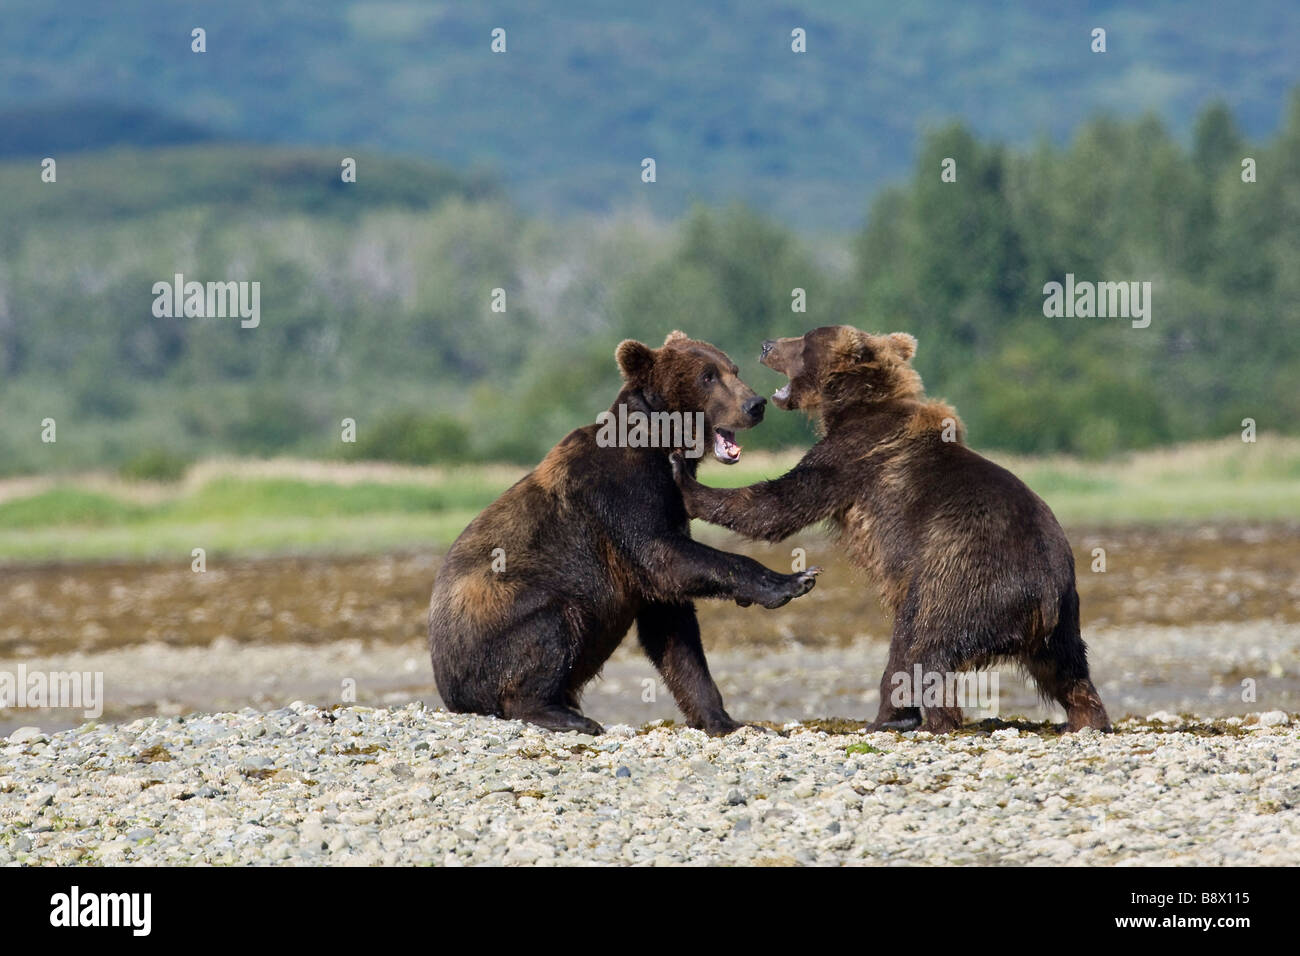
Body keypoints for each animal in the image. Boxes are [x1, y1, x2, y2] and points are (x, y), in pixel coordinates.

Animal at [426, 332, 816, 738]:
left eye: (733, 369)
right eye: (707, 376)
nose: (755, 404)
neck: (661, 444)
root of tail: (447, 687)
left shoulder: (669, 503)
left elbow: (673, 629)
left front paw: (725, 720)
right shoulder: (620, 495)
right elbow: (664, 557)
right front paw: (792, 580)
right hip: (502, 620)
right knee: (552, 624)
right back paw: (567, 715)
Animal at [670, 325, 1107, 738]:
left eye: (805, 340)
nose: (766, 345)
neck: (850, 406)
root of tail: (1045, 594)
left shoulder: (851, 456)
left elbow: (781, 504)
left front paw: (686, 479)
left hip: (963, 580)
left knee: (919, 643)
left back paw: (903, 719)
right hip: (1063, 617)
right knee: (1067, 670)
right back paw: (1085, 718)